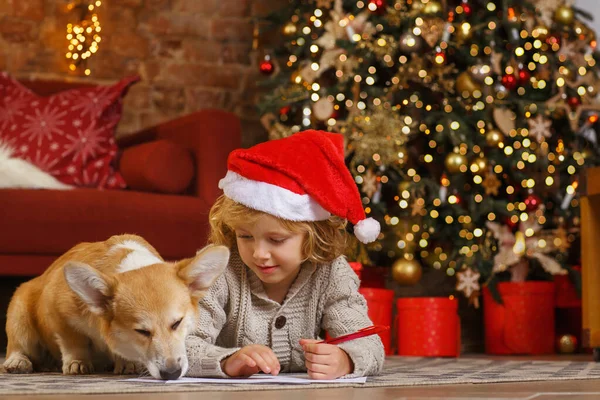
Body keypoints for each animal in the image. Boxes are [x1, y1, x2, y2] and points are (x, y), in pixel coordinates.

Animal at [2, 233, 227, 380]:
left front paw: (128, 363)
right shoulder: (57, 312)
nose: (171, 374)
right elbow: (73, 342)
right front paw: (78, 362)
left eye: (177, 323)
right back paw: (17, 362)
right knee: (18, 346)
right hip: (20, 313)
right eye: (142, 331)